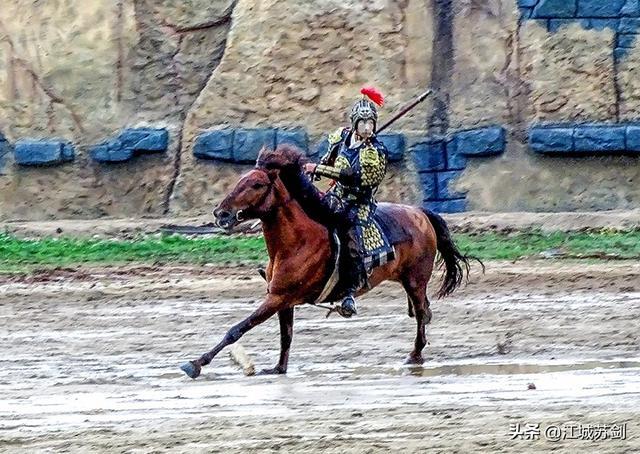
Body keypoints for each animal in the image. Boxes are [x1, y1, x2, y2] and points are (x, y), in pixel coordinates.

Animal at [178, 146, 478, 380]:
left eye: (256, 184)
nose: (221, 214)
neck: (297, 241)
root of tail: (420, 213)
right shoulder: (282, 300)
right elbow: (286, 336)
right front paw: (278, 368)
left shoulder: (277, 298)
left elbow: (237, 329)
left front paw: (195, 364)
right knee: (423, 313)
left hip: (416, 280)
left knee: (422, 314)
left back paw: (414, 356)